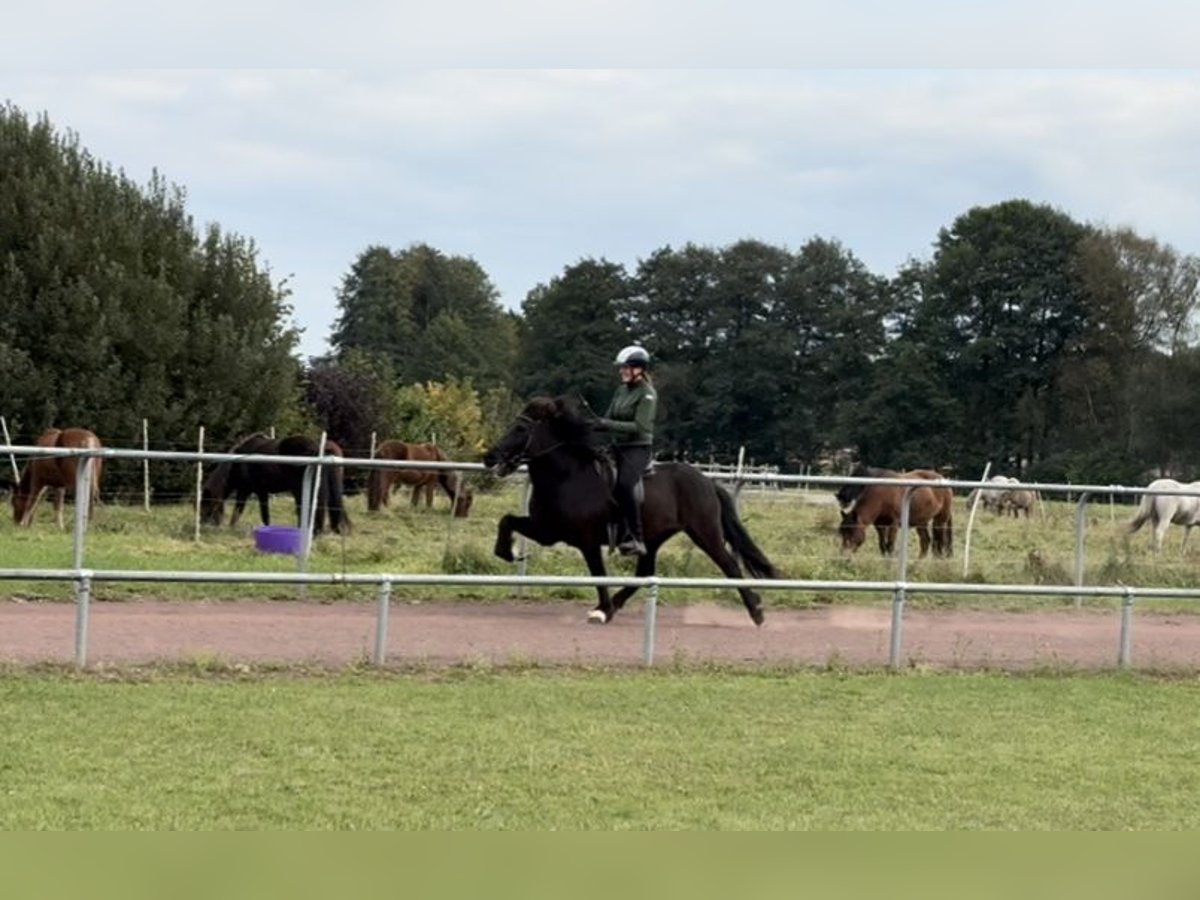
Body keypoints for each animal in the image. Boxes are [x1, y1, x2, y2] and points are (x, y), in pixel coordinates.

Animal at [199, 433, 349, 534]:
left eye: (206, 505)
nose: (202, 524)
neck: (238, 463)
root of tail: (318, 447)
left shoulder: (253, 491)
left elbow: (250, 513)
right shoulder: (253, 492)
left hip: (300, 488)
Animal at [482, 395, 779, 626]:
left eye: (521, 428)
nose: (489, 457)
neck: (567, 476)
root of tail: (707, 482)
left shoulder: (586, 540)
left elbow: (598, 574)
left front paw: (601, 611)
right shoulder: (547, 530)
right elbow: (506, 520)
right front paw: (509, 552)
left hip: (705, 533)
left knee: (730, 565)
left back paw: (757, 611)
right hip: (653, 537)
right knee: (643, 573)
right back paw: (616, 604)